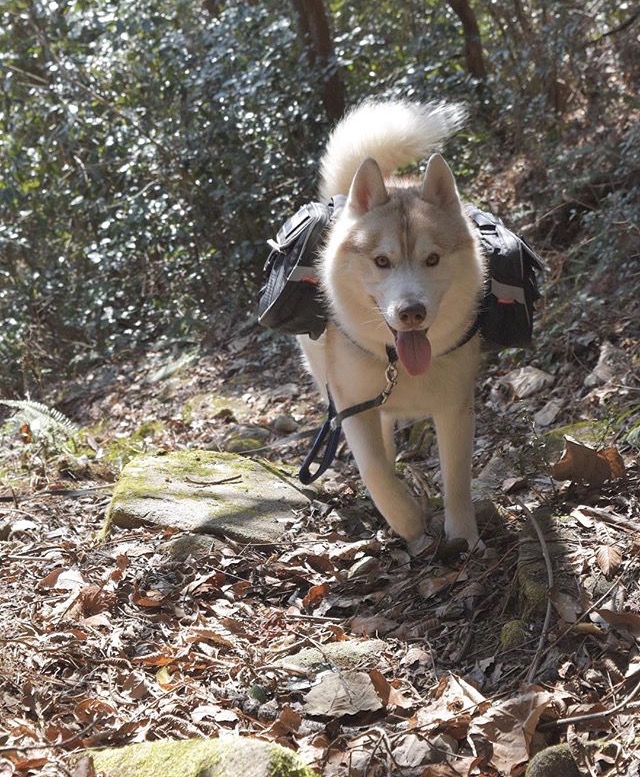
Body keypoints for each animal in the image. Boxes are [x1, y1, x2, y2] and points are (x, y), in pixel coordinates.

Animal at [300, 100, 484, 544]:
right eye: (382, 261)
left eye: (432, 259)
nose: (411, 312)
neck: (399, 366)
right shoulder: (349, 406)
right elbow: (374, 470)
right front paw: (407, 519)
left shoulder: (456, 407)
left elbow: (457, 477)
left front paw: (463, 539)